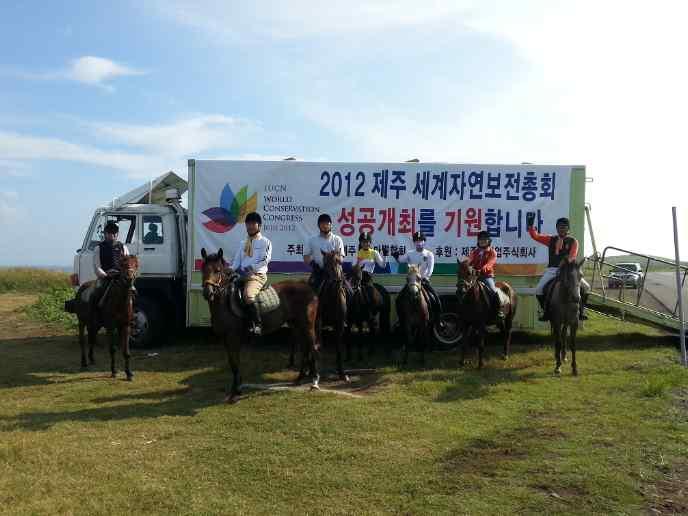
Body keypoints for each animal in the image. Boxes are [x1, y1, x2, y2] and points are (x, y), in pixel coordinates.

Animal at [200, 248, 322, 402]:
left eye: (217, 270)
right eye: (203, 269)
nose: (207, 293)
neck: (225, 301)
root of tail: (308, 287)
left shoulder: (233, 337)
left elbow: (235, 362)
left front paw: (235, 391)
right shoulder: (225, 339)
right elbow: (232, 362)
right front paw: (236, 389)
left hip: (307, 325)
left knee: (313, 347)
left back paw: (315, 381)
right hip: (297, 325)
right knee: (305, 349)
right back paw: (299, 378)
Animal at [318, 252, 350, 380]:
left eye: (339, 261)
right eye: (325, 263)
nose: (336, 280)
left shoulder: (339, 324)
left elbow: (338, 347)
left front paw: (342, 373)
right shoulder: (319, 323)